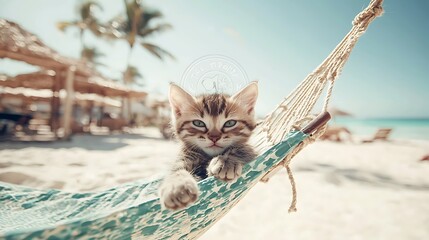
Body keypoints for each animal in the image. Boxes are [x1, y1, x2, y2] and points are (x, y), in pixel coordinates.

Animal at [158, 82, 256, 210]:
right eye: (198, 123)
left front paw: (225, 162)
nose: (214, 137)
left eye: (230, 123)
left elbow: (243, 150)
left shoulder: (251, 149)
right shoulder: (184, 155)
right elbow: (176, 170)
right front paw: (177, 187)